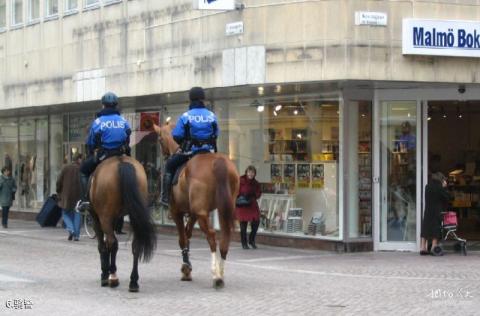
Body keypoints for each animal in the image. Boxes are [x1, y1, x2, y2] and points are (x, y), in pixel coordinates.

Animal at [88, 156, 158, 292]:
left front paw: (104, 274)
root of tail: (122, 161)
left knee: (112, 242)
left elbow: (102, 246)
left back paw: (113, 277)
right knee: (136, 245)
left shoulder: (97, 219)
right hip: (134, 216)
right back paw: (133, 281)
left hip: (105, 217)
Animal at [154, 123, 240, 288]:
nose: (165, 155)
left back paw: (216, 275)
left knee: (211, 236)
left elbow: (182, 239)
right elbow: (187, 236)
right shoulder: (193, 213)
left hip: (202, 213)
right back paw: (221, 272)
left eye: (160, 139)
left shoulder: (177, 212)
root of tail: (218, 162)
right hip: (222, 209)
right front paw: (187, 267)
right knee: (225, 236)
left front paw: (186, 268)